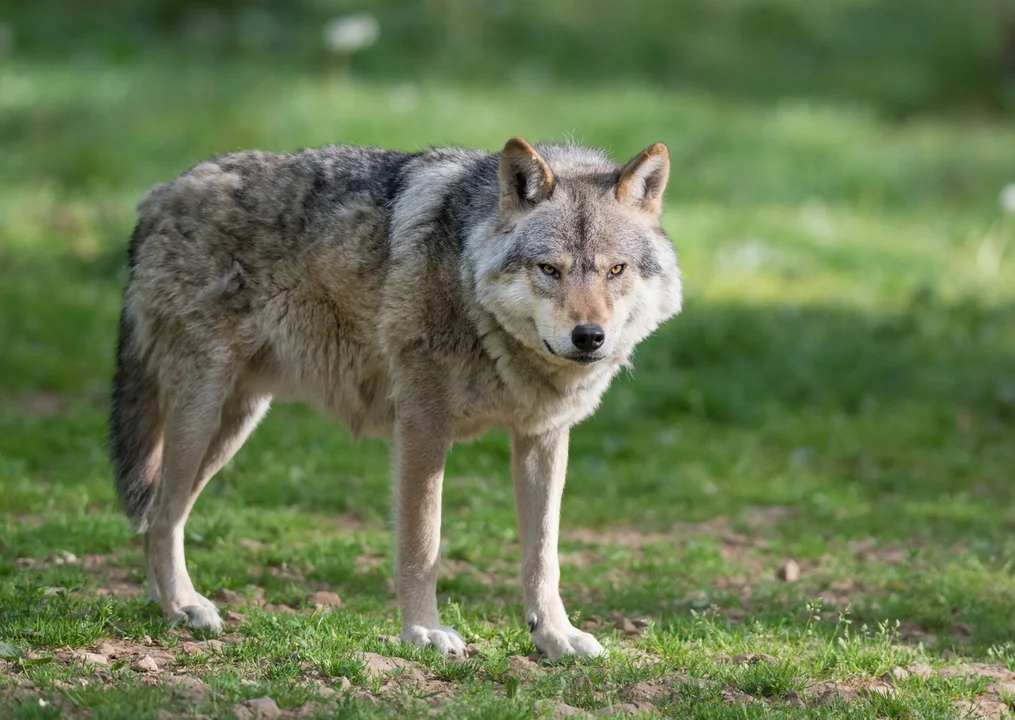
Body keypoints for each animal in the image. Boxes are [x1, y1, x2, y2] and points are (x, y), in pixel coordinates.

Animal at [109, 135, 682, 658]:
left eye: (615, 270)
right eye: (550, 269)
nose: (589, 337)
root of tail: (160, 194)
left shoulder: (542, 436)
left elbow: (543, 555)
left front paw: (556, 637)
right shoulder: (422, 425)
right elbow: (422, 543)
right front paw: (423, 632)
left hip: (233, 424)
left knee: (160, 514)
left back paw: (166, 605)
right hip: (203, 416)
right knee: (161, 514)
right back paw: (183, 606)